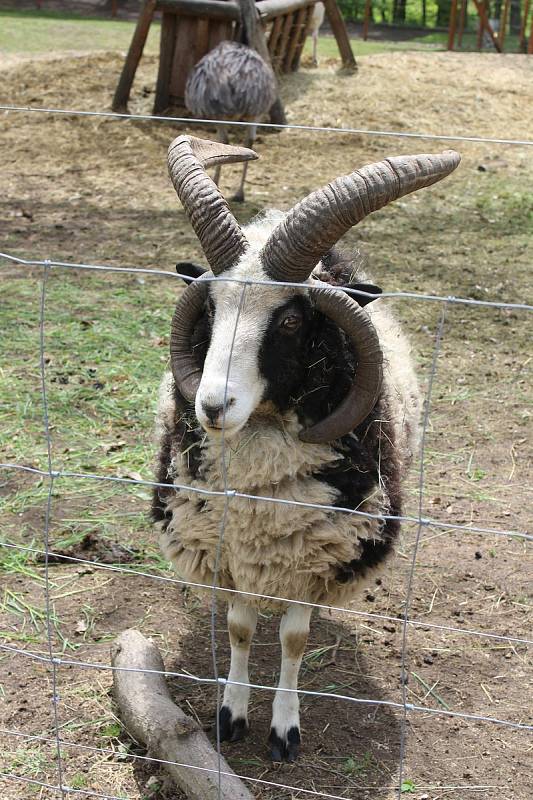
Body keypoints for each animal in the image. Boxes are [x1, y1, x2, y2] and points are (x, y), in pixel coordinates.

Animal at [152, 133, 460, 764]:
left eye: (291, 320)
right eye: (211, 310)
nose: (211, 407)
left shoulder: (319, 557)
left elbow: (294, 639)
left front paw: (284, 728)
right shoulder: (229, 551)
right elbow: (241, 629)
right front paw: (231, 713)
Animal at [184, 41, 276, 202]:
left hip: (230, 112)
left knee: (232, 140)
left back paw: (233, 190)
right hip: (253, 110)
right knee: (247, 140)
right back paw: (239, 193)